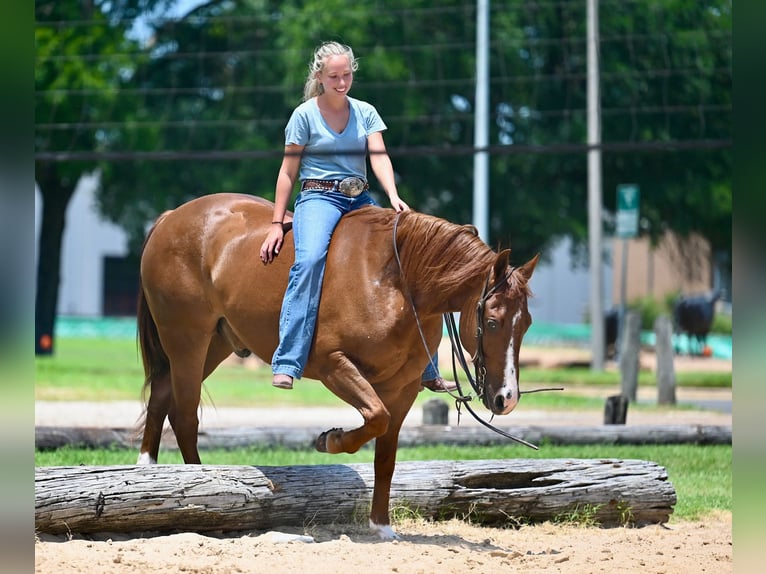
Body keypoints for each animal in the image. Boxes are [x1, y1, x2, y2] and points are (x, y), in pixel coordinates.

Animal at [135, 192, 539, 539]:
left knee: (162, 397)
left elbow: (386, 452)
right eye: (492, 322)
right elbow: (375, 417)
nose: (507, 398)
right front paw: (330, 440)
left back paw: (148, 470)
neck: (394, 282)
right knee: (184, 415)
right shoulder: (333, 364)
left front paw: (381, 526)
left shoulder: (404, 388)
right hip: (187, 339)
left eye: (527, 324)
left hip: (214, 343)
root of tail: (172, 217)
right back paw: (199, 482)